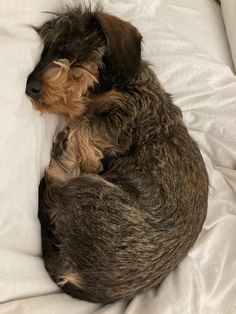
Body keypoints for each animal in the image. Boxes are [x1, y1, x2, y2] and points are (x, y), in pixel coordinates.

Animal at [26, 5, 208, 304]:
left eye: (66, 47)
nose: (30, 87)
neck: (109, 83)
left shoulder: (126, 115)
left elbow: (86, 127)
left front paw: (82, 150)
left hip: (86, 189)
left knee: (58, 183)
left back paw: (61, 156)